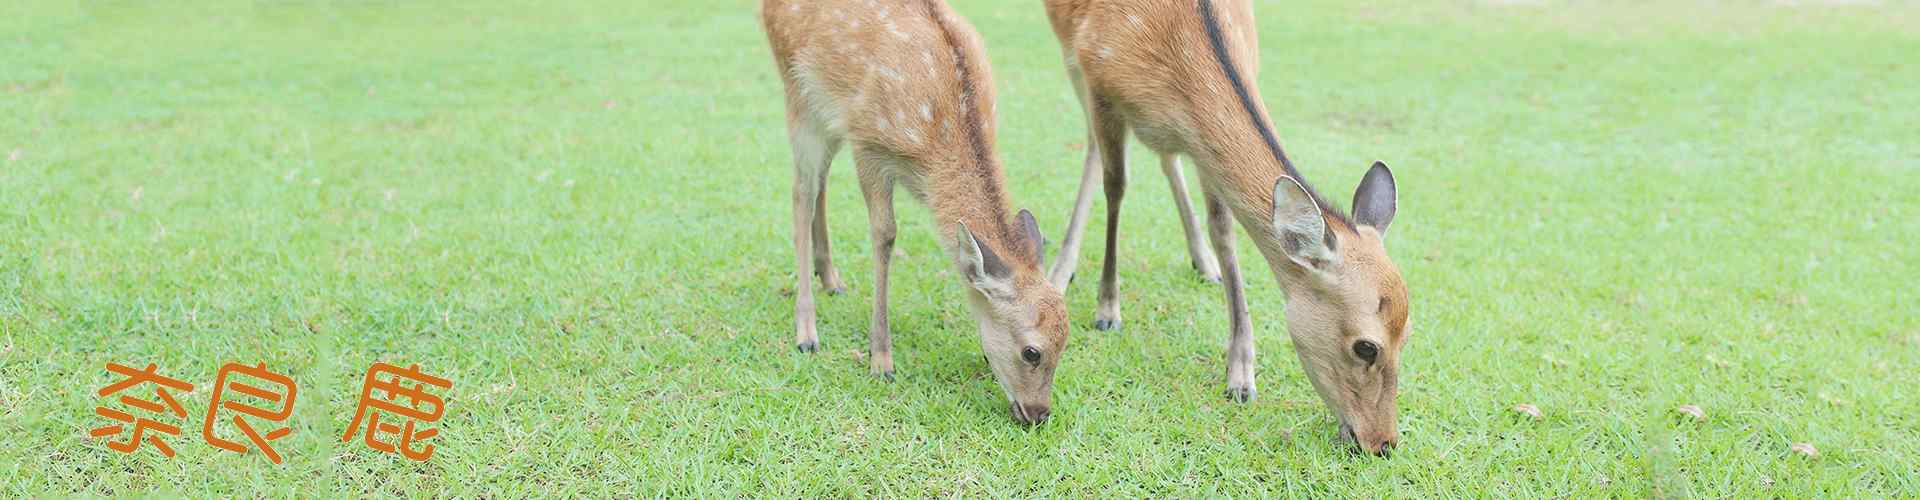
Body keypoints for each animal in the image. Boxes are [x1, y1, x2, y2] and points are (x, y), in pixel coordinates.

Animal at [756, 0, 1075, 425]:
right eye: (1032, 352)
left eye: (1066, 342)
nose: (1038, 414)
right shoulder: (869, 145)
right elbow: (885, 235)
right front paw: (881, 360)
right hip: (796, 88)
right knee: (801, 193)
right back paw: (807, 331)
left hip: (829, 111)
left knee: (820, 180)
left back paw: (831, 279)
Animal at [1044, 0, 1420, 453]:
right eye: (1366, 347)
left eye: (1407, 334)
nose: (1383, 442)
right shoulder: (1098, 80)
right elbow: (1115, 187)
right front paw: (1107, 309)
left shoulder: (1201, 144)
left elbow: (1223, 228)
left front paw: (1241, 373)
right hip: (1071, 61)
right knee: (1093, 151)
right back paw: (1061, 269)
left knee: (1165, 159)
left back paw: (1202, 261)